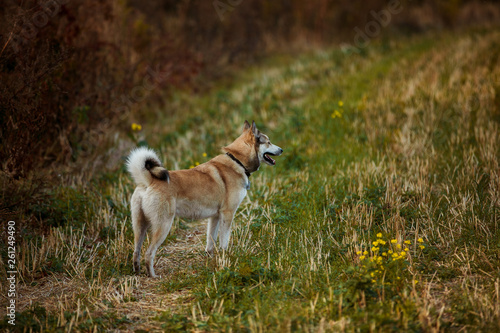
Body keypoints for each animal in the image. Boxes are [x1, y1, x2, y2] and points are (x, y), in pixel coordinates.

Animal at [126, 120, 282, 276]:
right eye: (268, 142)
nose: (281, 150)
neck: (238, 161)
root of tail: (149, 181)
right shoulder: (227, 214)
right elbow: (224, 241)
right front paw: (226, 258)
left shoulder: (215, 217)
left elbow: (210, 242)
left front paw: (211, 261)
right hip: (163, 225)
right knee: (149, 253)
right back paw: (153, 276)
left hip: (140, 225)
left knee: (136, 251)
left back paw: (137, 272)